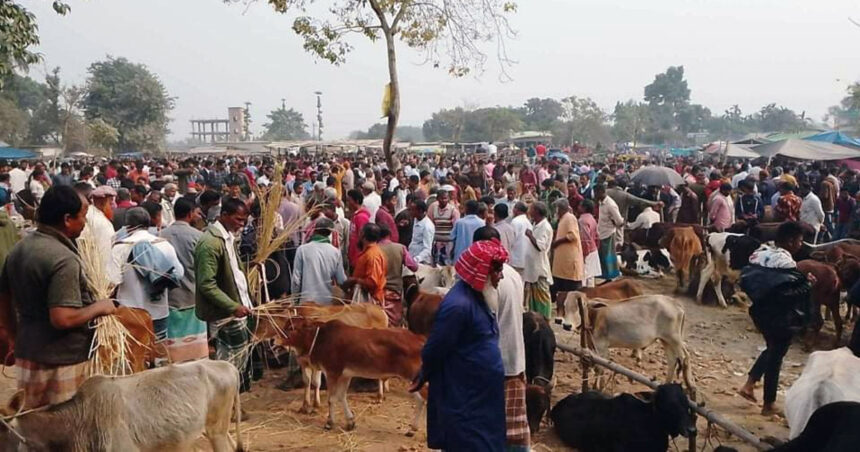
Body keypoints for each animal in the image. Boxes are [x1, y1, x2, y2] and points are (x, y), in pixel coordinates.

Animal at [274, 318, 424, 434]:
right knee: (421, 400)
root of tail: (419, 339)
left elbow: (332, 399)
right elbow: (341, 396)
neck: (320, 338)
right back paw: (412, 429)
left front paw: (329, 423)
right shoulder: (345, 375)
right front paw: (350, 422)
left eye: (292, 328)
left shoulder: (332, 372)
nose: (274, 340)